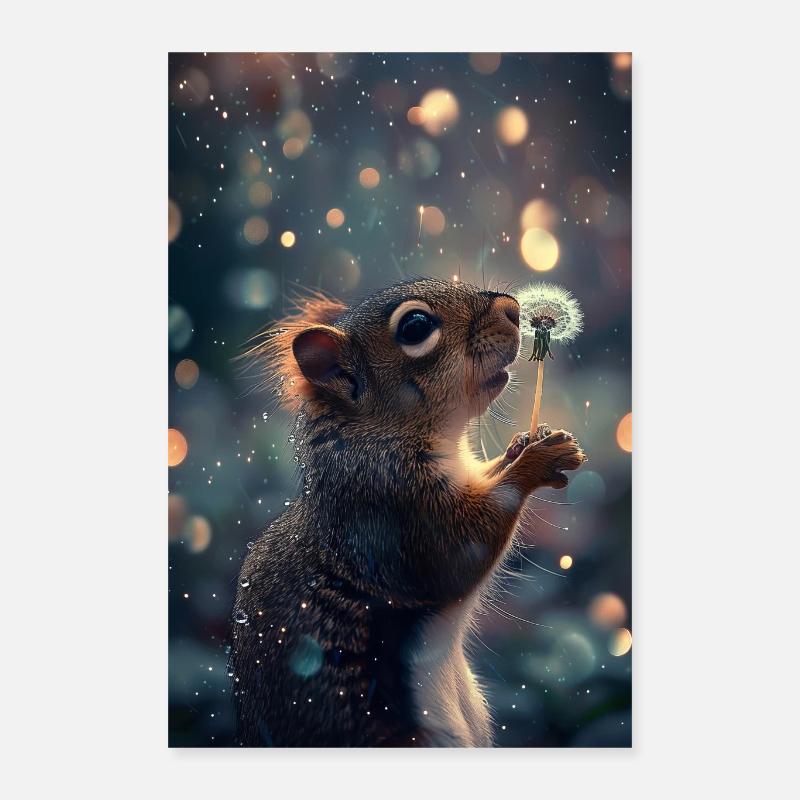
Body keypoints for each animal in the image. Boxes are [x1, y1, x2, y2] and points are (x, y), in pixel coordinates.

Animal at [231, 278, 586, 747]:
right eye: (415, 327)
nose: (513, 310)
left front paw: (525, 443)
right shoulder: (391, 508)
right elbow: (459, 551)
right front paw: (538, 460)